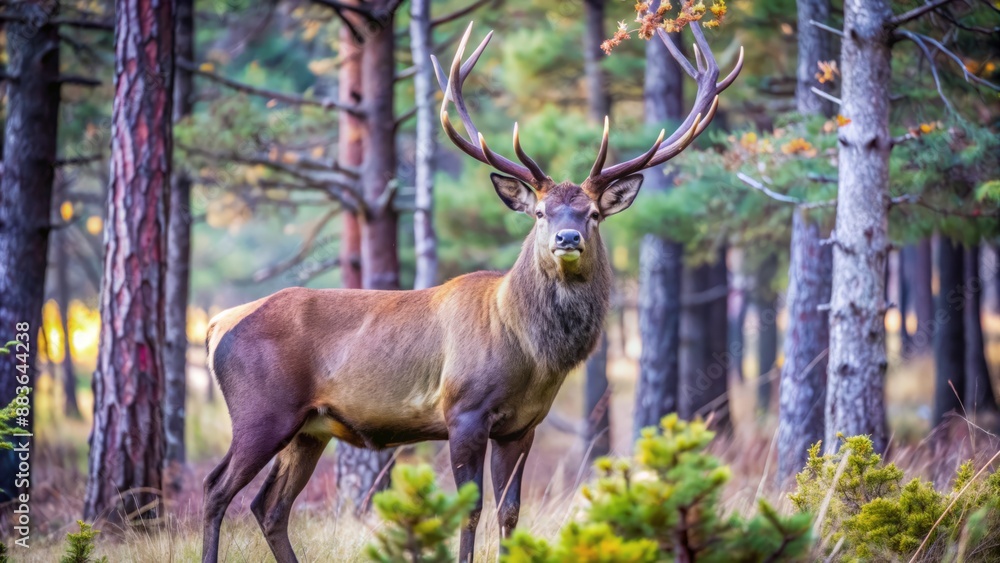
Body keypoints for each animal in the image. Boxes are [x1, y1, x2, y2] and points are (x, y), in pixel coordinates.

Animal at [201, 20, 741, 563]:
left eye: (592, 213)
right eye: (540, 213)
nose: (568, 239)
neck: (529, 351)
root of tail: (215, 324)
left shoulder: (523, 425)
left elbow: (509, 511)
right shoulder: (463, 411)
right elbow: (470, 509)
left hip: (308, 429)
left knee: (269, 506)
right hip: (261, 412)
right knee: (215, 488)